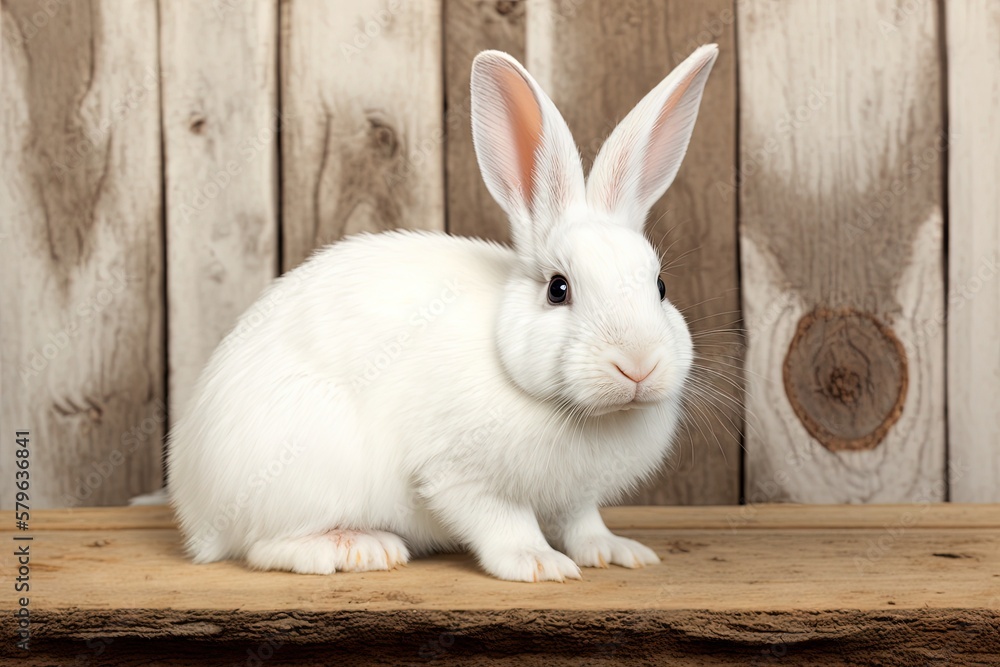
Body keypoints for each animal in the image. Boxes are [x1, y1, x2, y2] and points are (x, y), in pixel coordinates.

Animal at [170, 45, 720, 584]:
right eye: (558, 289)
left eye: (660, 286)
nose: (638, 366)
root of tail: (196, 510)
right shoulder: (459, 475)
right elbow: (504, 522)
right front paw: (538, 563)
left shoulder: (575, 497)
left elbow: (583, 522)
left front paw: (614, 551)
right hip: (306, 471)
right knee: (264, 546)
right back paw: (358, 547)